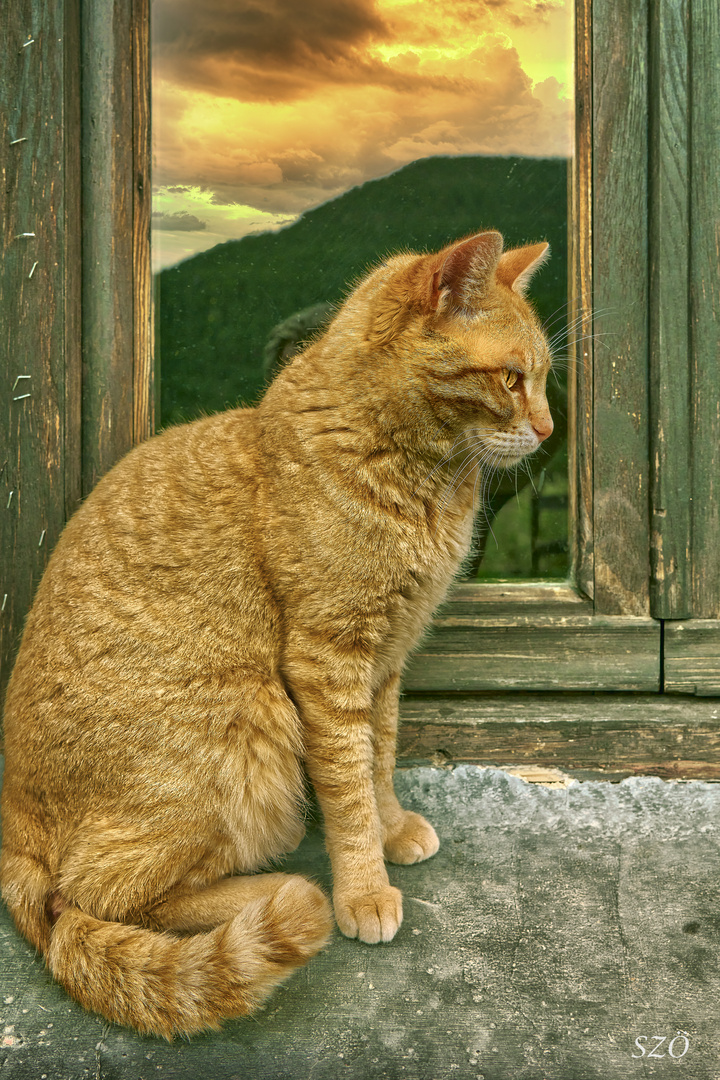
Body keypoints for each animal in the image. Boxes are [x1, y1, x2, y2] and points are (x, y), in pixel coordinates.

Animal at [1, 227, 552, 1036]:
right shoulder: (328, 661)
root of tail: (13, 826)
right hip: (248, 727)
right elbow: (349, 788)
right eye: (513, 379)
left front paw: (392, 831)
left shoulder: (384, 663)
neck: (420, 478)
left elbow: (379, 761)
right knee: (91, 897)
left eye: (543, 380)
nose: (548, 429)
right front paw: (365, 887)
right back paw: (281, 890)